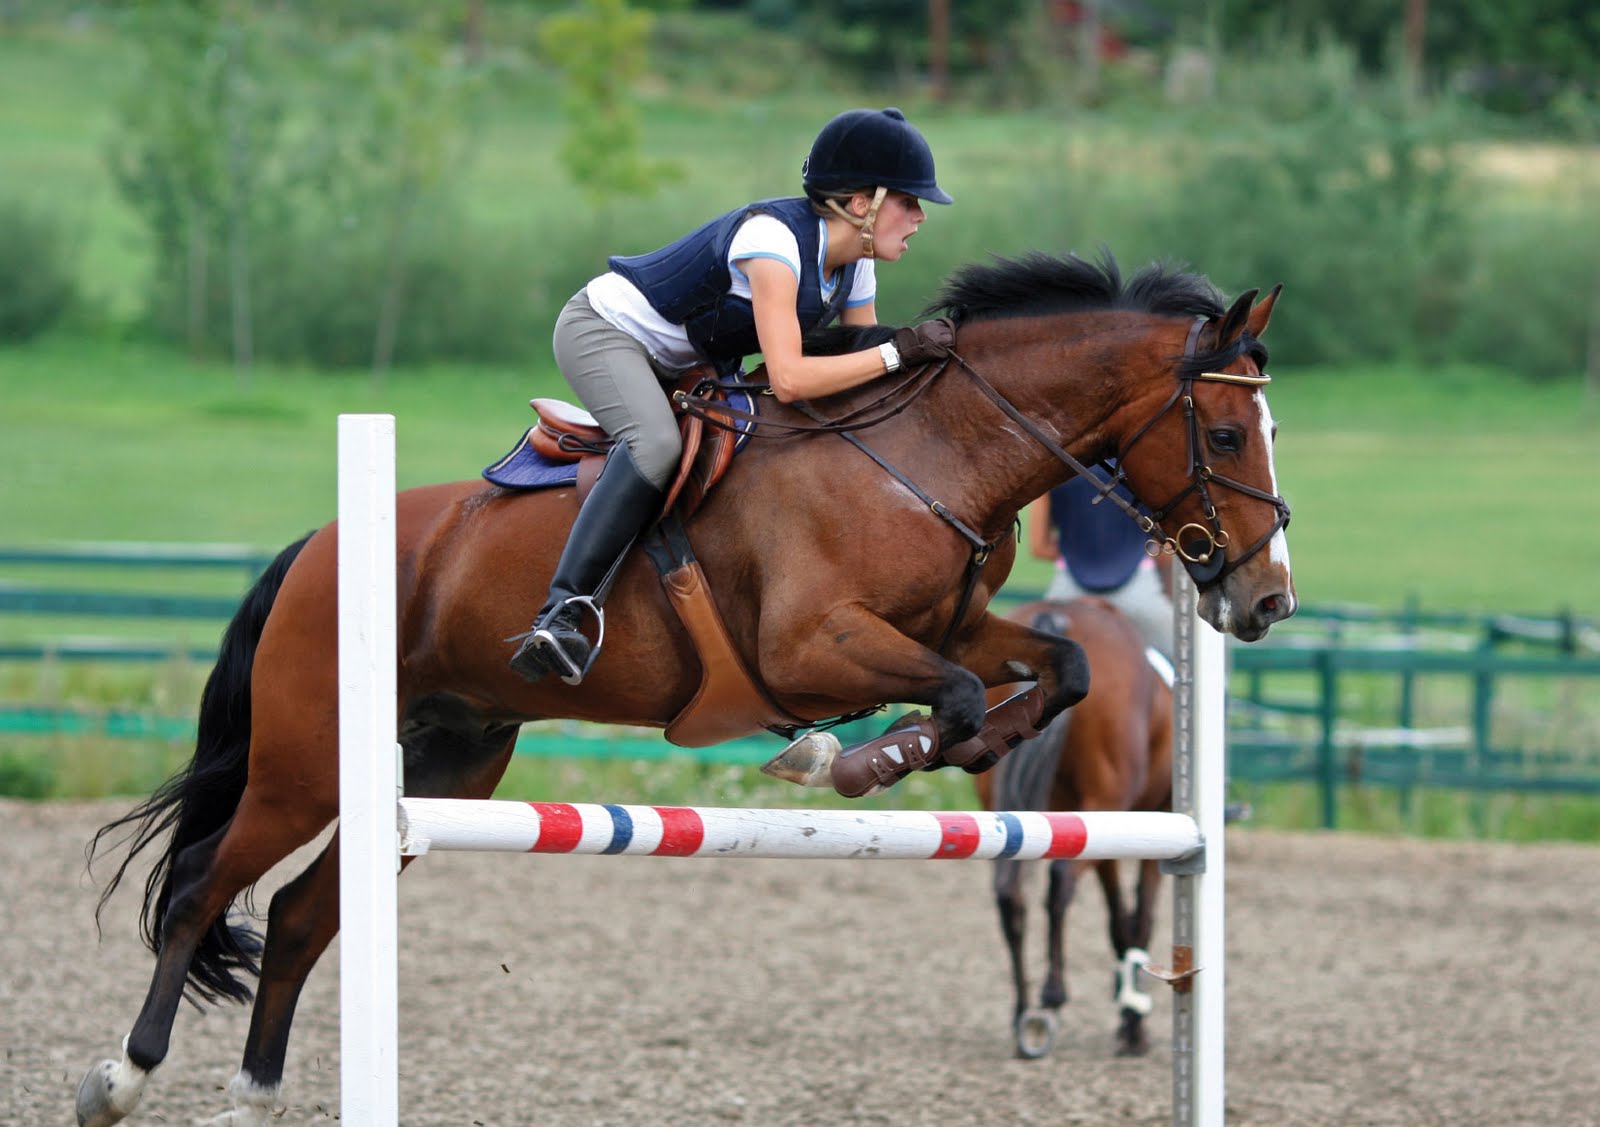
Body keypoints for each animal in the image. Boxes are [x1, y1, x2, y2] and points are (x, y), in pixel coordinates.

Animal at [973, 597, 1173, 1060]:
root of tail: (1060, 615)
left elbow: (1119, 921)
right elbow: (1138, 919)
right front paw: (1132, 1022)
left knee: (1009, 893)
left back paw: (1023, 1012)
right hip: (1104, 806)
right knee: (1060, 882)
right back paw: (1051, 1000)